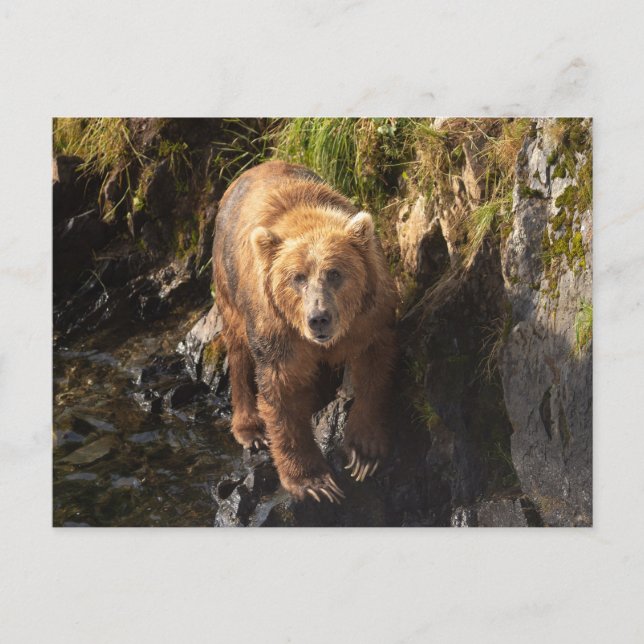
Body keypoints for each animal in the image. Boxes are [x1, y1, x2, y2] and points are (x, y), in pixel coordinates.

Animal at [213, 160, 397, 503]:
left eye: (335, 273)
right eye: (297, 277)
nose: (318, 319)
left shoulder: (370, 317)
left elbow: (373, 370)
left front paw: (363, 453)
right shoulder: (279, 332)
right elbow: (282, 392)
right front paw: (313, 482)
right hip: (229, 286)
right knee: (239, 352)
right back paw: (250, 429)